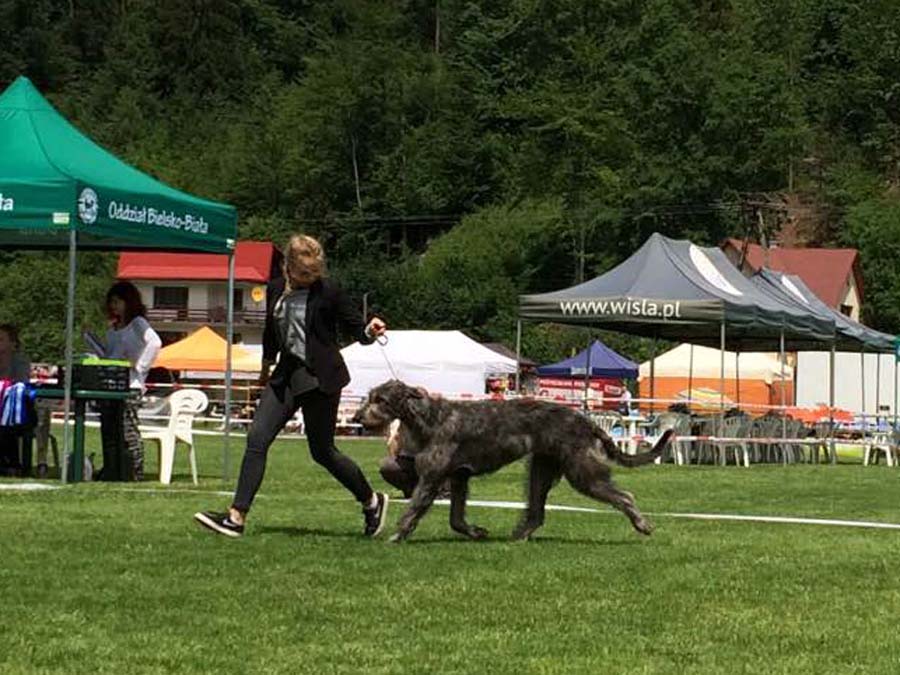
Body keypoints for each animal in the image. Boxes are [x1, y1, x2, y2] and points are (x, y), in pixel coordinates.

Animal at [356, 380, 672, 544]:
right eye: (370, 397)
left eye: (380, 399)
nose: (358, 417)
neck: (429, 419)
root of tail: (585, 420)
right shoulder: (459, 476)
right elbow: (456, 517)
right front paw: (475, 531)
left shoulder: (433, 476)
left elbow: (414, 508)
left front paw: (397, 535)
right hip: (541, 467)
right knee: (537, 511)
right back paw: (520, 534)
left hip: (580, 469)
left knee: (624, 495)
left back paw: (642, 524)